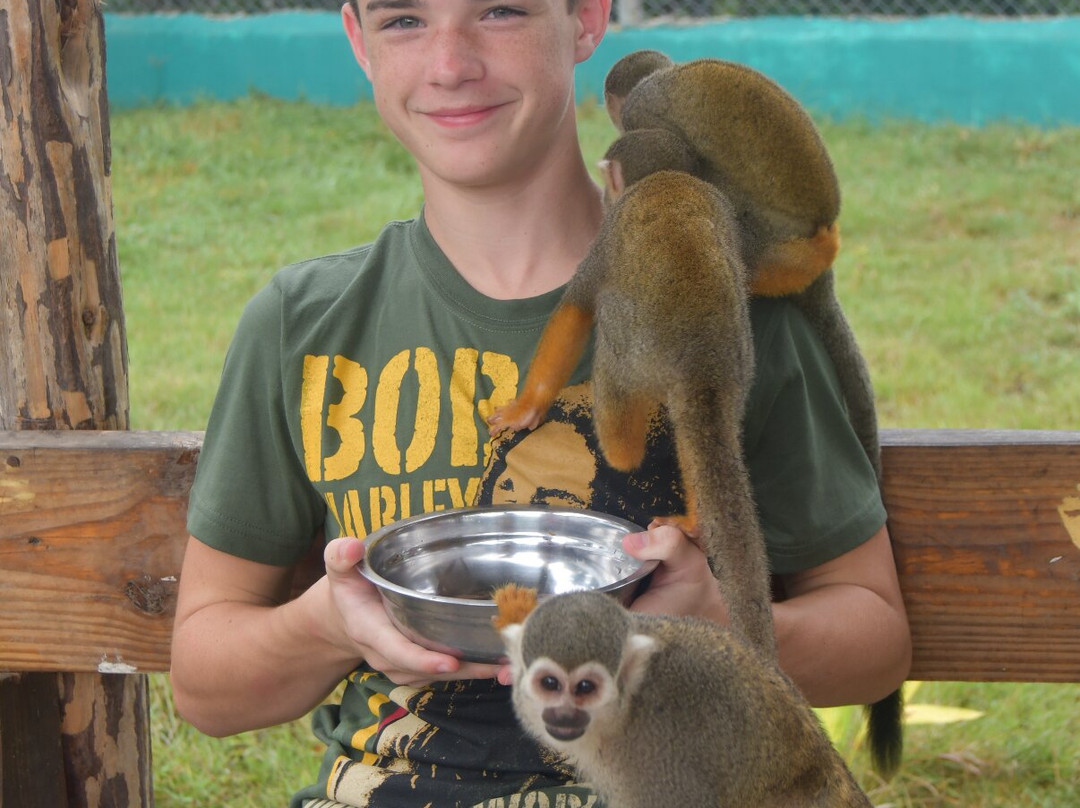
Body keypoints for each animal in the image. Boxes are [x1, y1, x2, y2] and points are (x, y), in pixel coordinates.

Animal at [488, 151, 777, 659]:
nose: (605, 196)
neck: (667, 179)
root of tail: (699, 358)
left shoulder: (607, 237)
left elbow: (578, 305)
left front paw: (529, 406)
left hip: (631, 354)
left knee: (611, 357)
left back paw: (619, 449)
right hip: (737, 367)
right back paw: (696, 517)